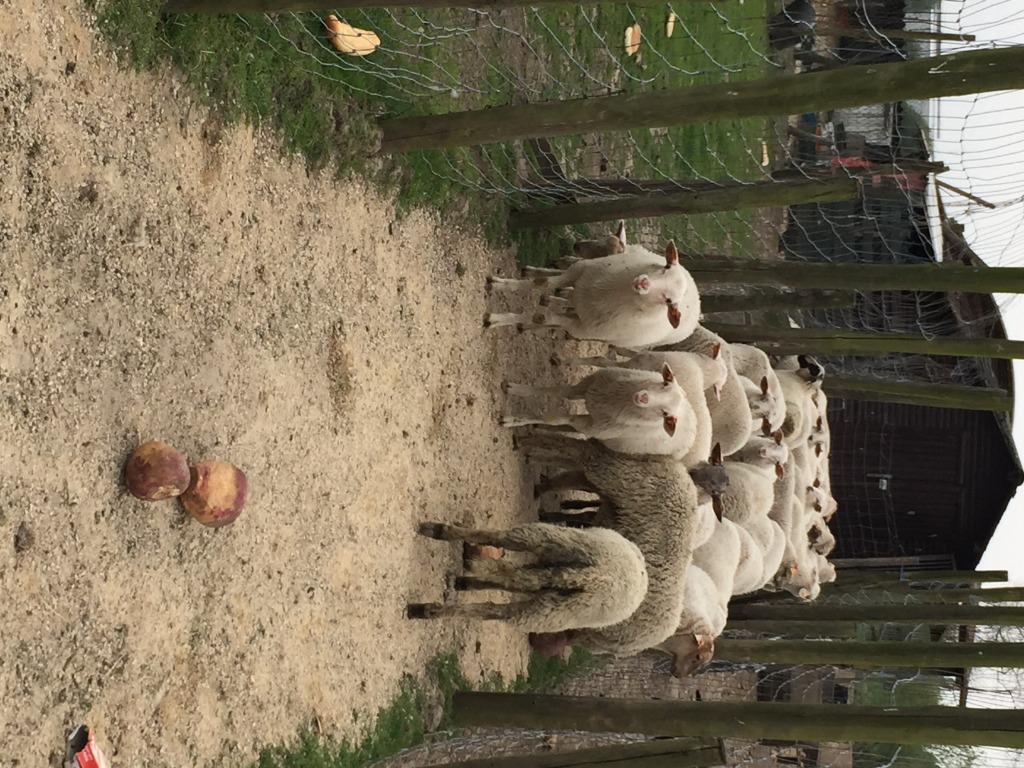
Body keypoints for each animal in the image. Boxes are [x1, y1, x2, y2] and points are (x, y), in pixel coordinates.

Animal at [406, 521, 648, 633]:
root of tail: (599, 578)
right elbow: (512, 580)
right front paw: (467, 581)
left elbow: (509, 578)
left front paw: (467, 578)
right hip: (555, 609)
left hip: (549, 542)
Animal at [485, 242, 700, 348]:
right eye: (666, 266)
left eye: (669, 301)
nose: (642, 283)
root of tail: (697, 299)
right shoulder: (579, 271)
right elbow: (543, 283)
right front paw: (499, 284)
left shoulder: (578, 327)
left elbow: (541, 317)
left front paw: (494, 320)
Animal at [502, 364, 695, 457]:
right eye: (664, 383)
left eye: (665, 414)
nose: (643, 398)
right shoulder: (588, 386)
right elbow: (557, 390)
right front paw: (518, 390)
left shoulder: (588, 424)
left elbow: (556, 419)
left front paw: (514, 420)